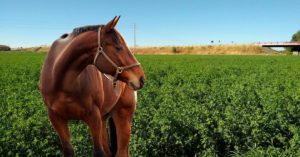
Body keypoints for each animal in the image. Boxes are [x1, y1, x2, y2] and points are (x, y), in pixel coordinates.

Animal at [39, 16, 145, 157]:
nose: (141, 78)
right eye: (118, 47)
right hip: (104, 119)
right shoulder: (56, 118)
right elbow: (69, 151)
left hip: (123, 117)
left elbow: (98, 152)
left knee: (121, 152)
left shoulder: (93, 117)